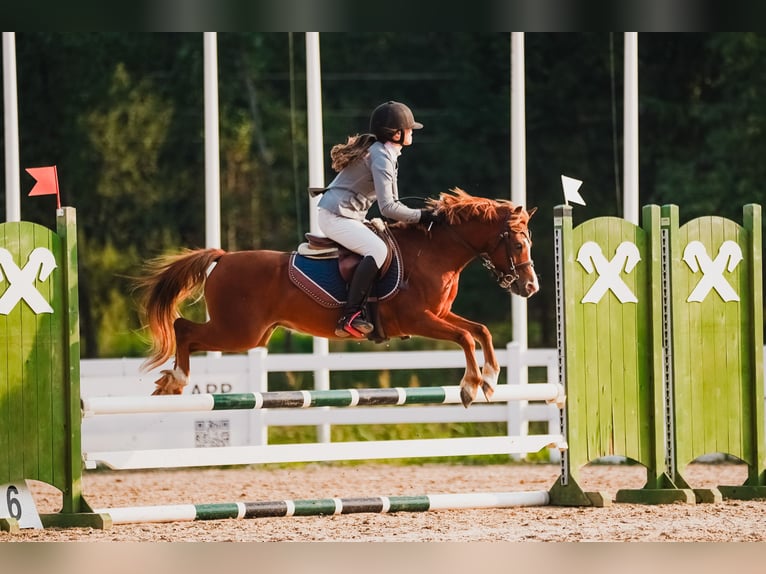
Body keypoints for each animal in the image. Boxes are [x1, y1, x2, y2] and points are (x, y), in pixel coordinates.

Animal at [136, 189, 540, 410]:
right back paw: (176, 380)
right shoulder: (419, 319)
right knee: (183, 328)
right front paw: (471, 385)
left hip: (251, 333)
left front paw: (490, 378)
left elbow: (480, 330)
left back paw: (171, 381)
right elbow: (465, 337)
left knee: (186, 332)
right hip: (239, 332)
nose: (531, 287)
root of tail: (223, 257)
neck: (433, 253)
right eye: (519, 244)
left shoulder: (440, 313)